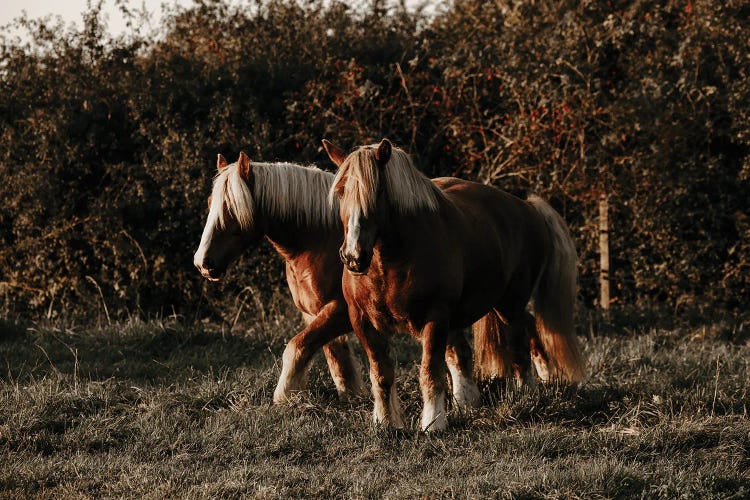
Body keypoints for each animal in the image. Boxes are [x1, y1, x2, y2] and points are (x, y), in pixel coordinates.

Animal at [192, 152, 366, 402]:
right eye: (209, 203)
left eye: (231, 207)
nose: (203, 262)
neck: (322, 242)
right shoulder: (315, 313)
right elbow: (336, 358)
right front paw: (351, 397)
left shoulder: (341, 311)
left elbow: (296, 347)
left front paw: (284, 396)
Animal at [324, 139, 588, 432]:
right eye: (340, 191)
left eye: (379, 192)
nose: (353, 256)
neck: (389, 263)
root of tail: (527, 206)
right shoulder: (363, 322)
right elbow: (381, 374)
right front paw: (386, 422)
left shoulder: (435, 317)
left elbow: (430, 371)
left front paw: (433, 422)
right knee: (479, 346)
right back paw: (473, 399)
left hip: (510, 304)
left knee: (519, 339)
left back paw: (527, 391)